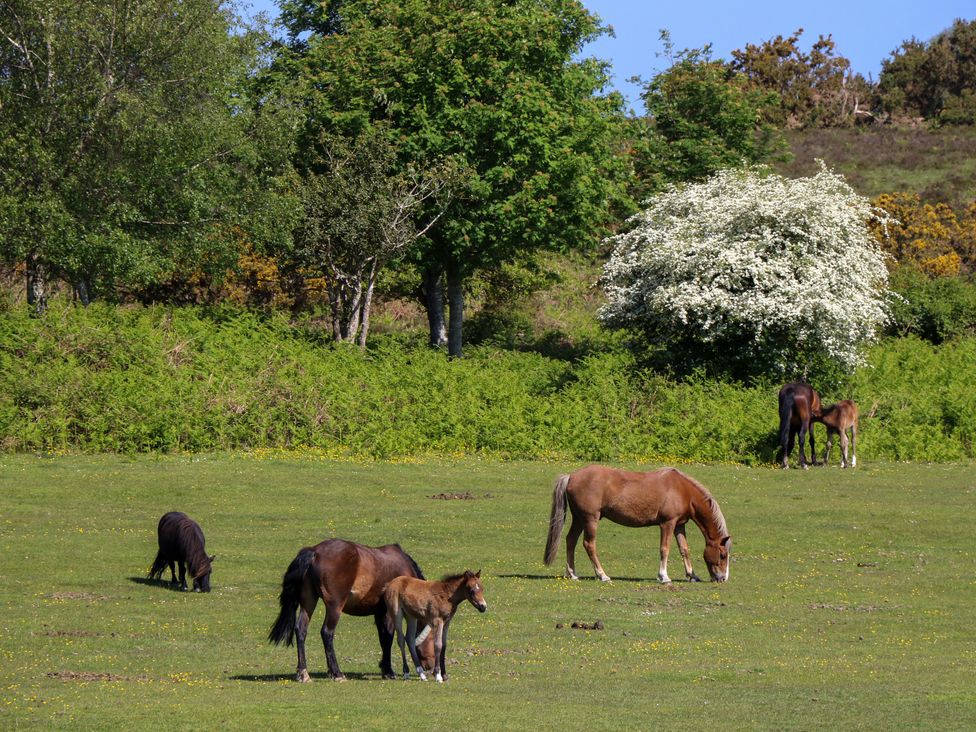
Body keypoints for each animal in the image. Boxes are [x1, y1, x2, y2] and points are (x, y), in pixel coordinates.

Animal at [266, 536, 434, 680]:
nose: (431, 667)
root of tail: (314, 551)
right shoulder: (389, 612)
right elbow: (388, 637)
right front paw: (389, 671)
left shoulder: (379, 613)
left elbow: (383, 638)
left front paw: (384, 668)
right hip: (335, 606)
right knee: (327, 633)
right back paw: (337, 673)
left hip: (308, 602)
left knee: (301, 629)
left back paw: (303, 673)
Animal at [540, 466, 732, 588]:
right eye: (722, 555)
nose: (723, 578)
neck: (682, 490)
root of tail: (571, 476)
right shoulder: (667, 524)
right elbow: (665, 549)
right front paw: (664, 577)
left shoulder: (679, 525)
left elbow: (684, 549)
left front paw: (692, 576)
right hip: (590, 520)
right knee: (589, 545)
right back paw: (602, 575)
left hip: (579, 519)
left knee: (571, 540)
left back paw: (572, 574)